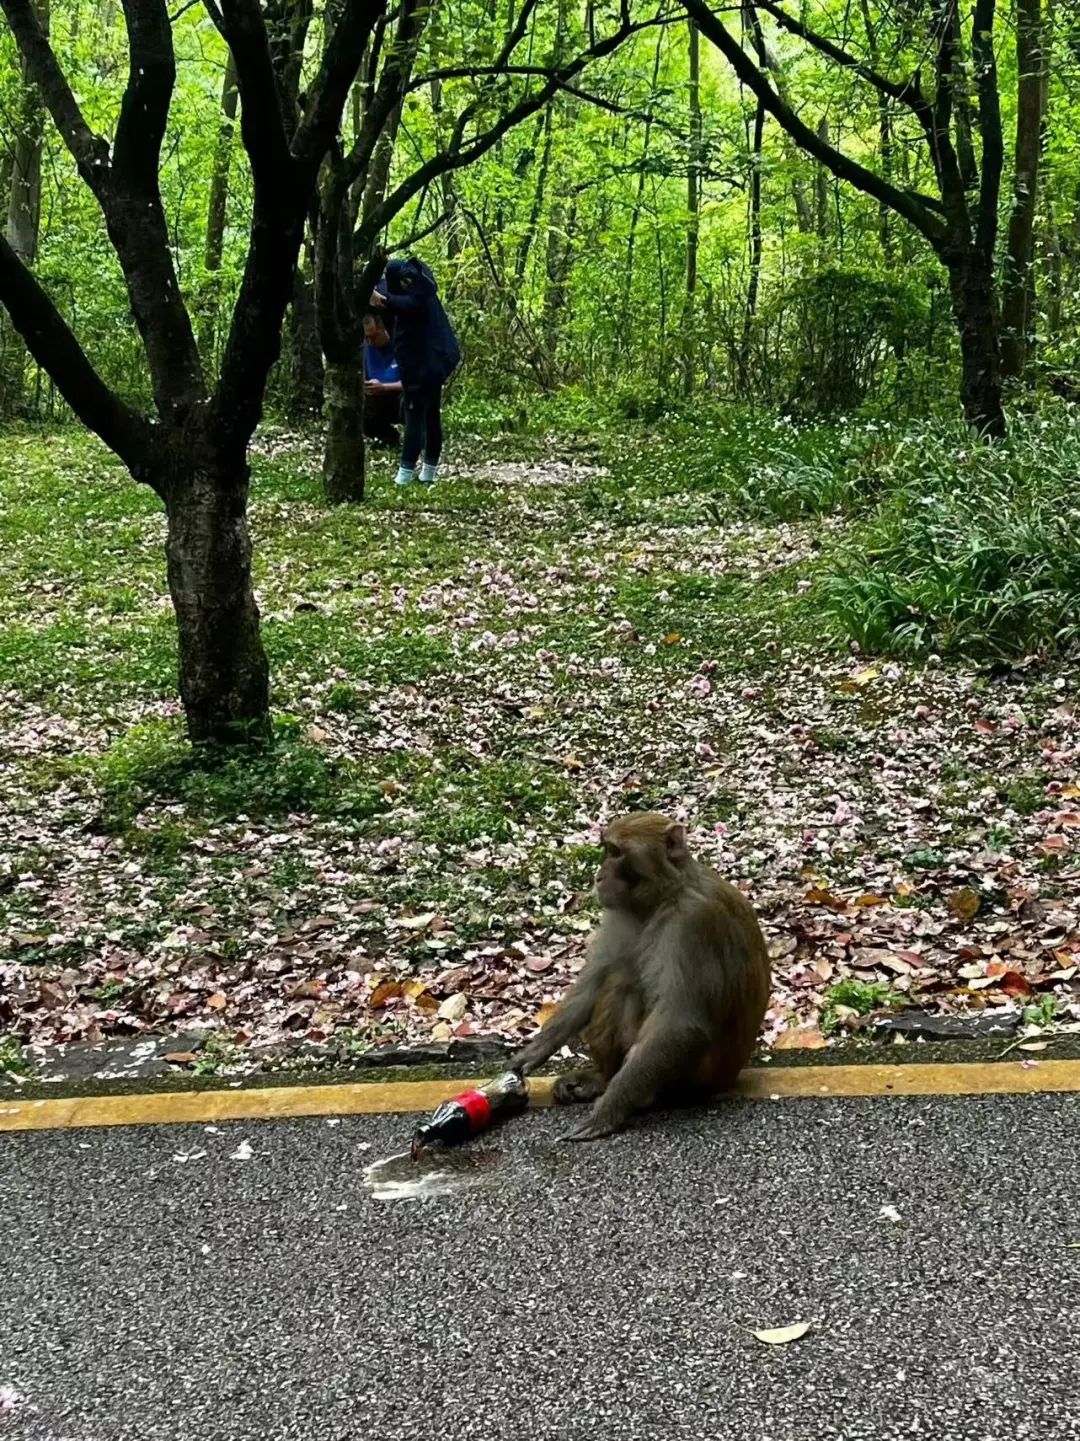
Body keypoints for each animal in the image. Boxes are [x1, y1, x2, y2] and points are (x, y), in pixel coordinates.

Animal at [510, 812, 772, 1135]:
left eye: (617, 853)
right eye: (607, 850)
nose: (599, 876)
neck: (661, 898)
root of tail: (729, 1078)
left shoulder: (694, 924)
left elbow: (680, 1021)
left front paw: (607, 1111)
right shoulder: (618, 912)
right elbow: (592, 985)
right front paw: (532, 1053)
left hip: (696, 1078)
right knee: (617, 980)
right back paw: (601, 1079)